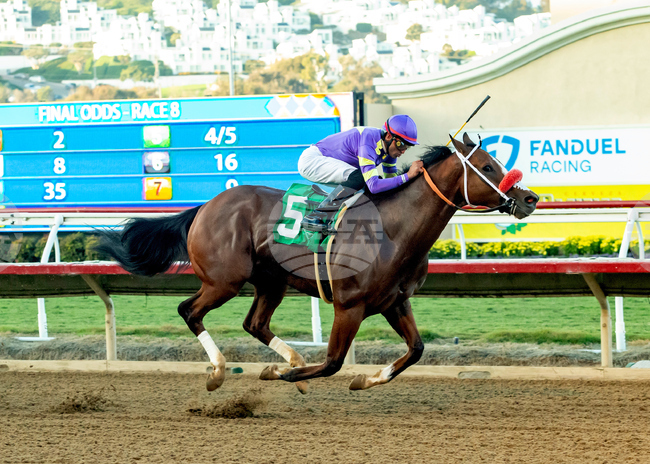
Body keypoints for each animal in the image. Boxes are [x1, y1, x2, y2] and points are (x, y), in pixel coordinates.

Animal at [98, 133, 539, 393]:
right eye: (487, 167)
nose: (529, 198)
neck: (393, 229)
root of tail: (205, 206)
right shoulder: (350, 305)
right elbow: (331, 363)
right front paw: (287, 375)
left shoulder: (394, 301)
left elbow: (416, 349)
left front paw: (365, 378)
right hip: (224, 281)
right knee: (189, 311)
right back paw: (221, 371)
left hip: (271, 281)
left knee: (254, 323)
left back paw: (288, 359)